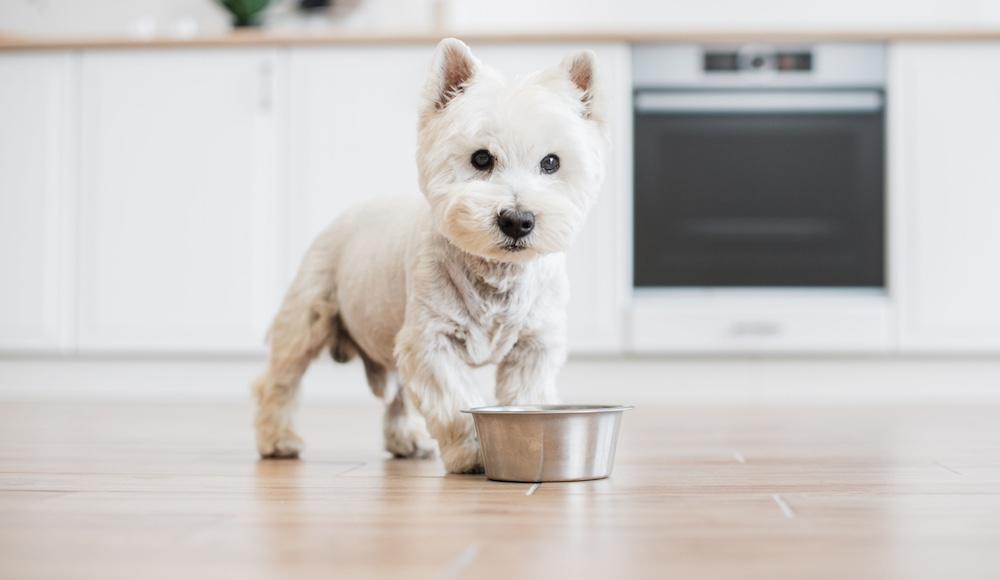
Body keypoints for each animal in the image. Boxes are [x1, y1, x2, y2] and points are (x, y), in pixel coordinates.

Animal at [254, 36, 604, 474]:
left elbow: (526, 394)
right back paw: (277, 438)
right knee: (280, 377)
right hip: (310, 310)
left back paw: (406, 439)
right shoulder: (431, 339)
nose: (517, 220)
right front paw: (472, 453)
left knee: (398, 392)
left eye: (551, 162)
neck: (495, 274)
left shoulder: (534, 343)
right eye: (481, 158)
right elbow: (454, 400)